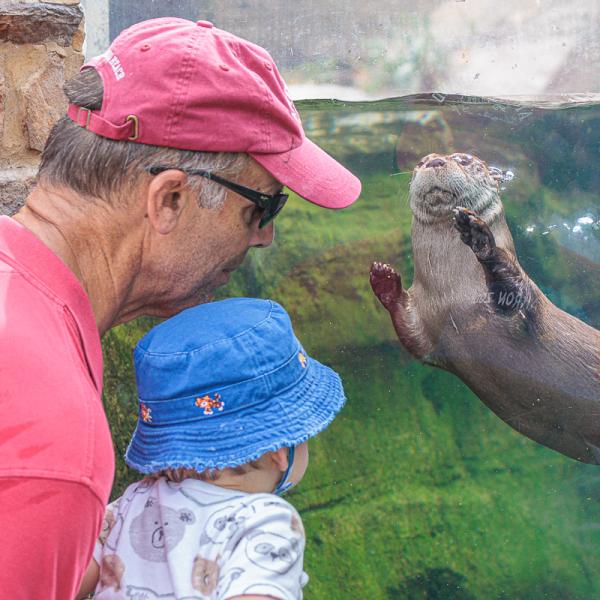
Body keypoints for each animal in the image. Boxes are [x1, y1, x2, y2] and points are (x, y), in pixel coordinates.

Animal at [370, 152, 600, 466]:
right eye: (421, 161)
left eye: (464, 159)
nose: (434, 162)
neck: (455, 296)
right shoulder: (428, 324)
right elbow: (412, 336)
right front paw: (384, 279)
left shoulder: (525, 304)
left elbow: (512, 290)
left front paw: (479, 235)